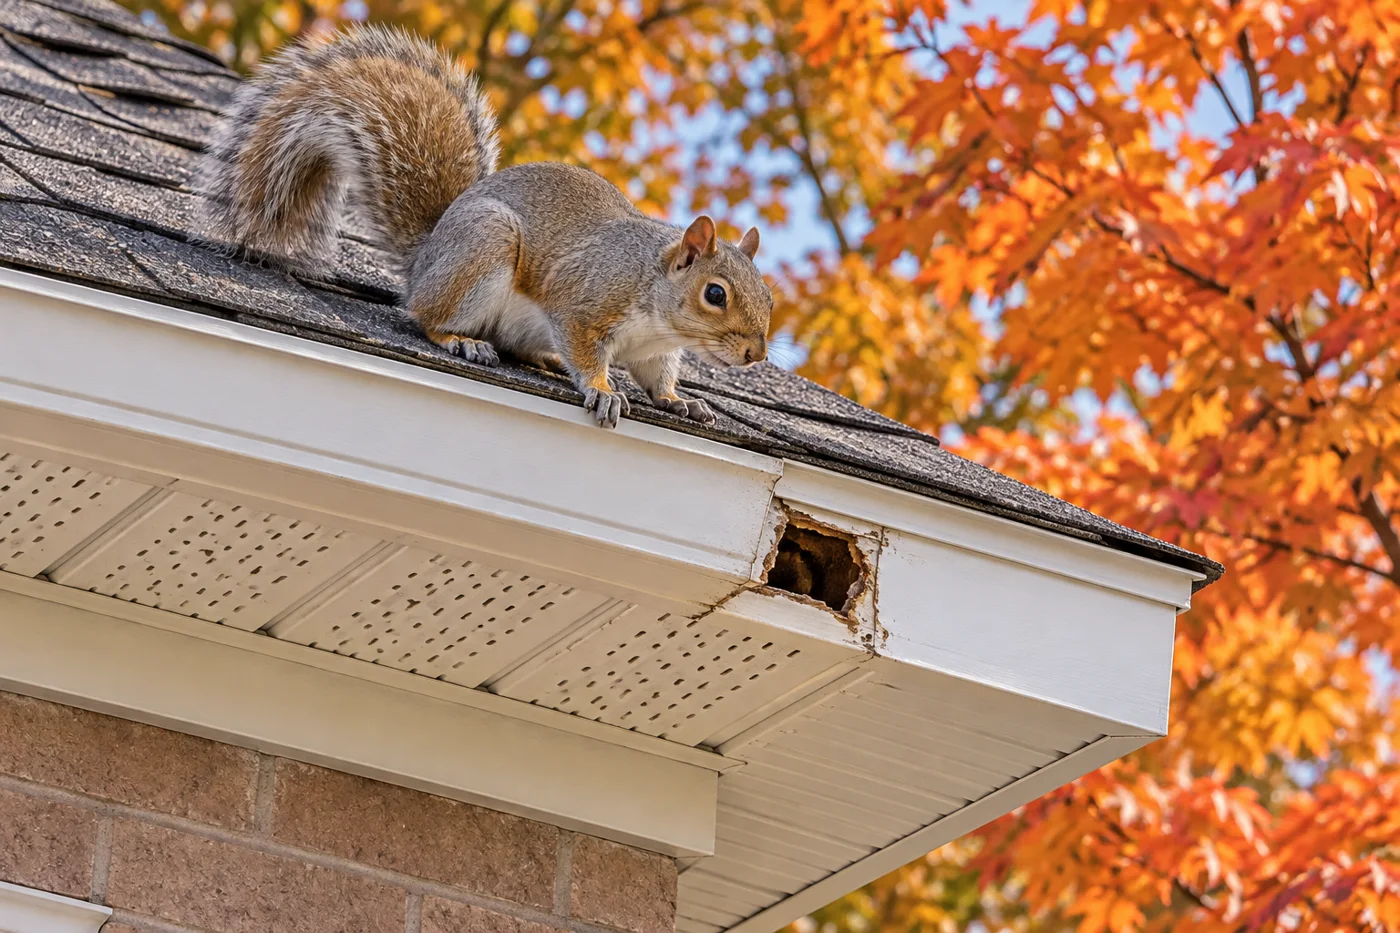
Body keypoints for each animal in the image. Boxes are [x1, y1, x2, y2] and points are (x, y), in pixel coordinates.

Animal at [196, 25, 772, 429]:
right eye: (715, 294)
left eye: (768, 297)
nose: (755, 356)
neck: (657, 309)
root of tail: (426, 257)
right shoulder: (585, 303)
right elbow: (584, 349)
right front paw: (604, 390)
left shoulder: (655, 352)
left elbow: (659, 380)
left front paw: (682, 401)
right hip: (483, 250)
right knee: (424, 315)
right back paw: (460, 340)